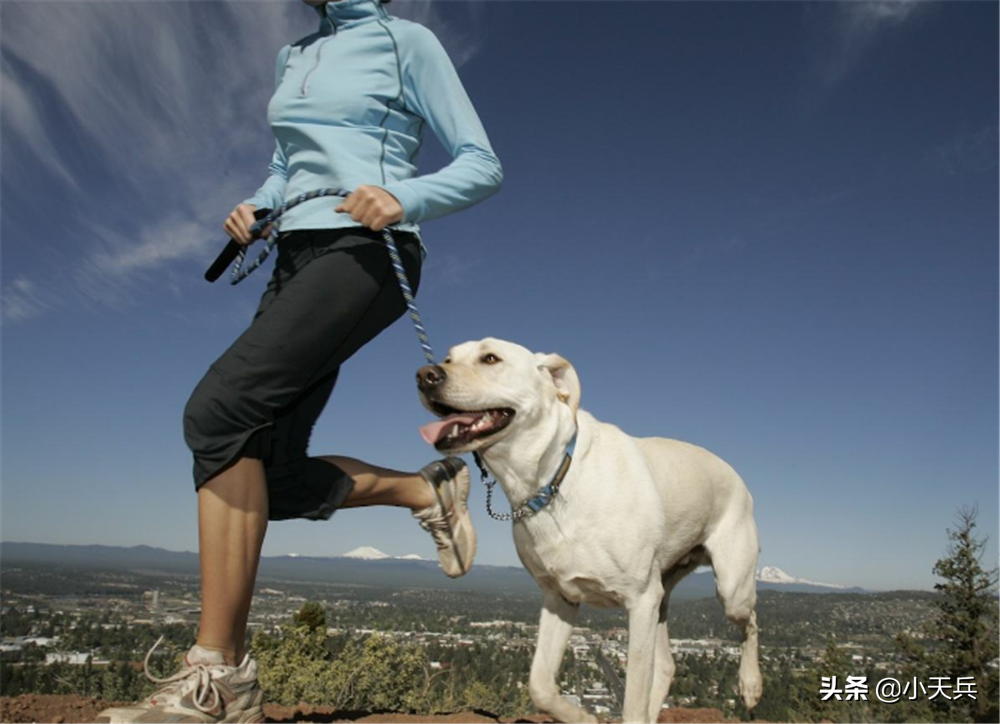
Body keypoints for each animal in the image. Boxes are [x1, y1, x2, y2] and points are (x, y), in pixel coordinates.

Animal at [418, 340, 760, 724]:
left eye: (490, 358)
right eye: (448, 358)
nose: (425, 375)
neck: (552, 479)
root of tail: (734, 474)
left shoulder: (640, 601)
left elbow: (633, 698)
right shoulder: (560, 597)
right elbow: (540, 685)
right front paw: (584, 717)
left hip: (730, 588)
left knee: (751, 621)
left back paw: (751, 686)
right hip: (662, 596)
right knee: (667, 665)